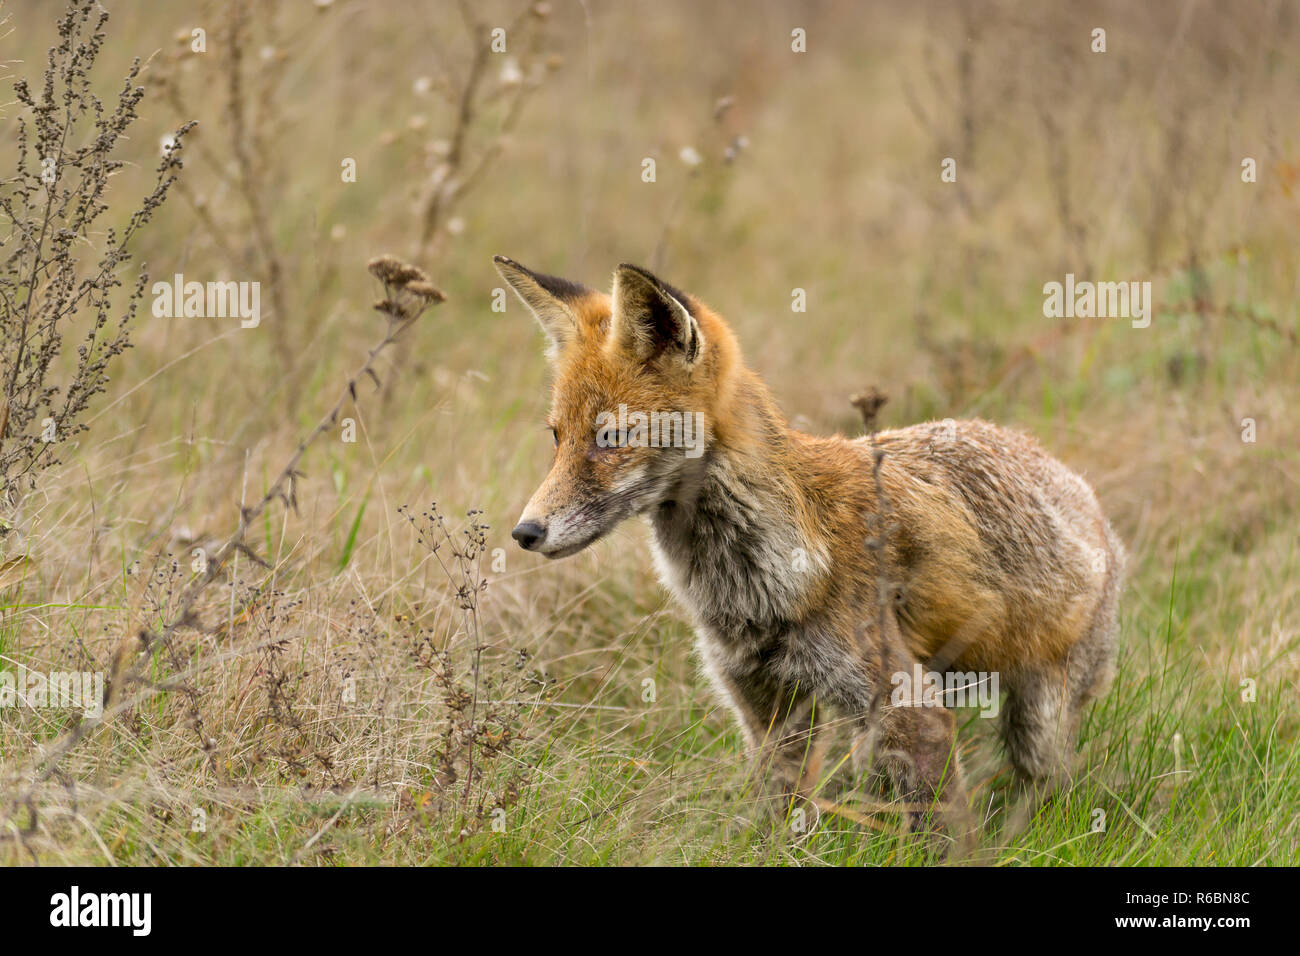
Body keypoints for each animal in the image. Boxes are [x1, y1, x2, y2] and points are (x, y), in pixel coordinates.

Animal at [495, 254, 1126, 838]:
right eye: (557, 437)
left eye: (612, 438)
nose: (525, 533)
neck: (754, 582)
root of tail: (1073, 482)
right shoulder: (765, 708)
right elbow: (781, 816)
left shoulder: (906, 706)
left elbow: (942, 835)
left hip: (1036, 723)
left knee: (1046, 785)